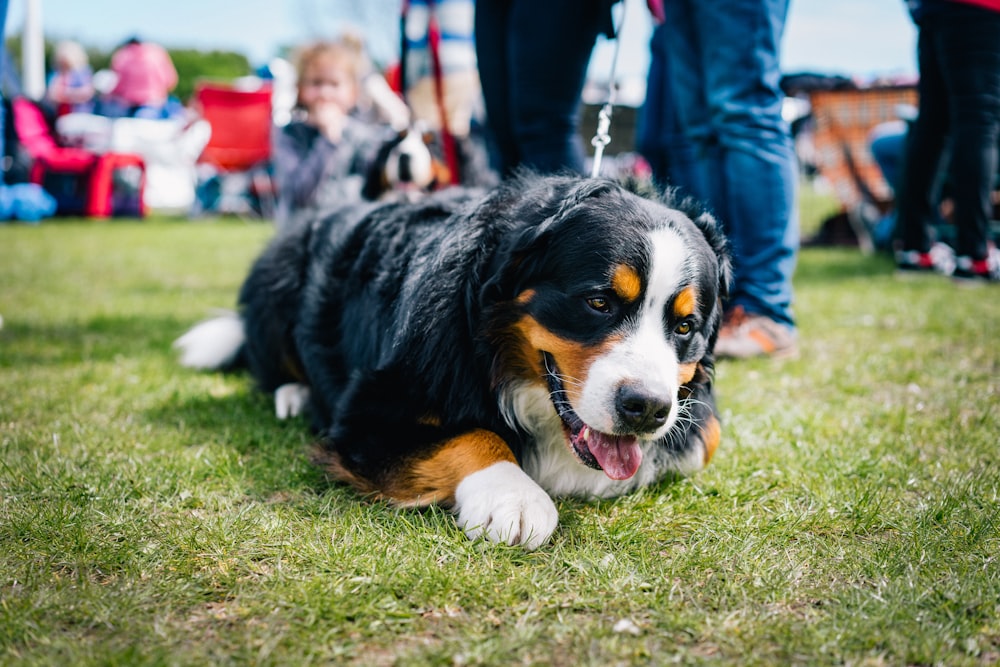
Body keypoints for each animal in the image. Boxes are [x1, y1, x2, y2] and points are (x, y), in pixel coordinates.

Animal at [176, 175, 732, 552]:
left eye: (685, 326)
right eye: (598, 302)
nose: (648, 409)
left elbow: (704, 438)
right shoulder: (368, 413)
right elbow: (474, 435)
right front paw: (515, 498)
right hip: (280, 281)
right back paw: (292, 393)